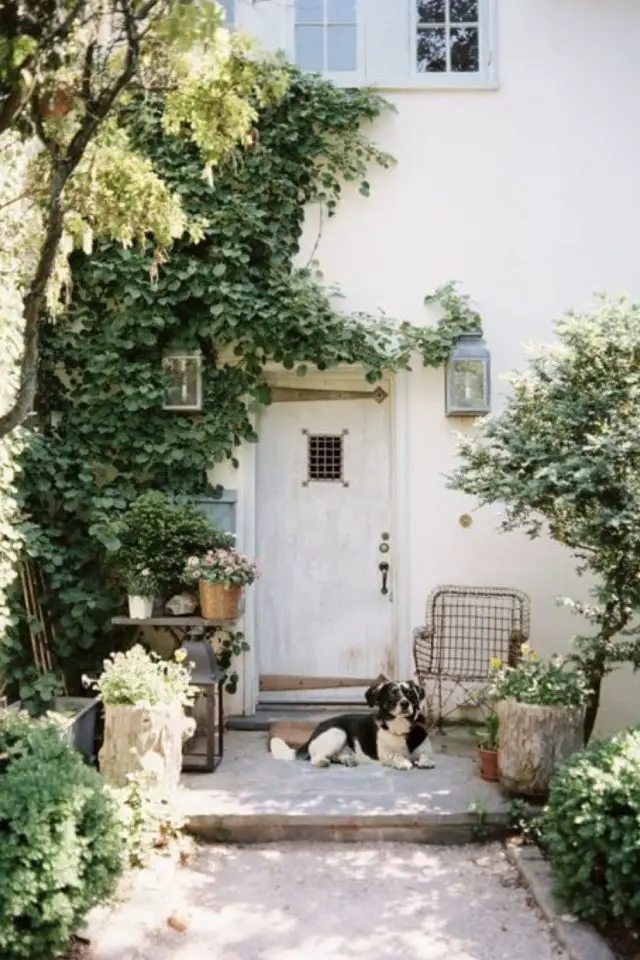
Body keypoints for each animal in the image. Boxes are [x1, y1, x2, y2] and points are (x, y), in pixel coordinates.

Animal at [270, 676, 436, 772]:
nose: (405, 703)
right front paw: (403, 762)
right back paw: (323, 761)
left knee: (337, 755)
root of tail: (313, 734)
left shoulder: (425, 749)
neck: (401, 728)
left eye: (410, 693)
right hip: (337, 732)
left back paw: (348, 759)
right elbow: (395, 755)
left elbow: (426, 755)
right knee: (315, 758)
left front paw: (426, 761)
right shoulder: (385, 754)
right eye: (392, 693)